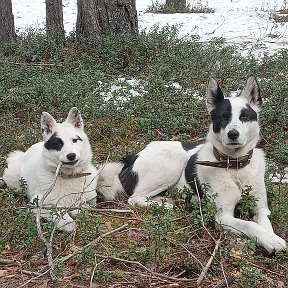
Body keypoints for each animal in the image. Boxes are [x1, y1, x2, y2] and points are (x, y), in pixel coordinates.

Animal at [98, 76, 286, 252]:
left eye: (244, 116)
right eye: (223, 117)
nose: (233, 134)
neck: (235, 165)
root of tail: (134, 155)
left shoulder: (261, 208)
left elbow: (265, 222)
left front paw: (271, 236)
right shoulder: (223, 217)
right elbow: (250, 224)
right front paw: (270, 240)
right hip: (172, 163)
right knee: (134, 198)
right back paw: (164, 204)